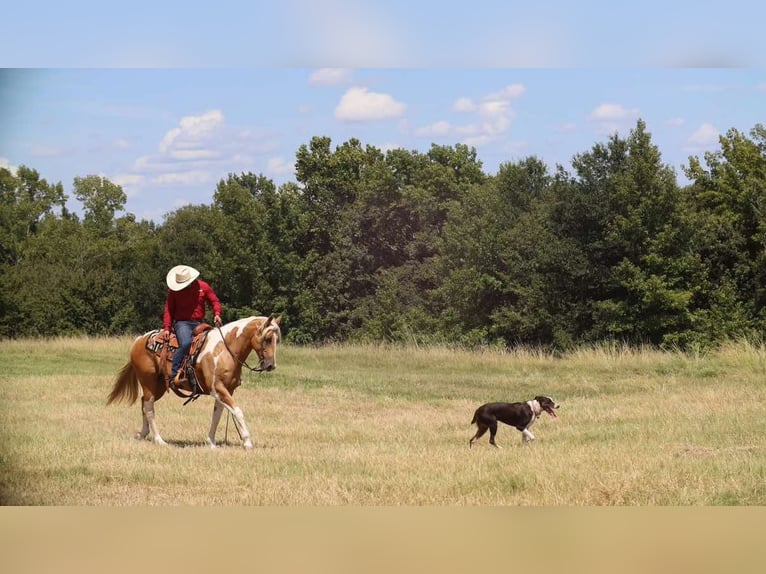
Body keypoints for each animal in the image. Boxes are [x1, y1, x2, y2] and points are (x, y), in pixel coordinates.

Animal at [107, 316, 282, 450]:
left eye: (277, 340)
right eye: (267, 339)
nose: (270, 365)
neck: (225, 349)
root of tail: (139, 339)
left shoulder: (226, 390)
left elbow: (217, 415)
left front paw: (211, 442)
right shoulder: (218, 389)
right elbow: (237, 411)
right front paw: (247, 442)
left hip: (160, 386)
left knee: (144, 402)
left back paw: (143, 433)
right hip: (148, 382)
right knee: (149, 407)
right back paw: (159, 440)